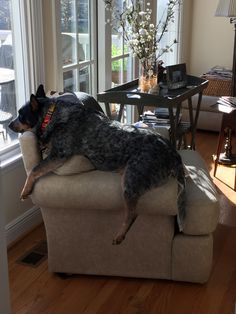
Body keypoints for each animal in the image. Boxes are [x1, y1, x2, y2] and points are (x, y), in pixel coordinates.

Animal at [8, 85, 186, 245]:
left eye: (20, 115)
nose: (9, 124)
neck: (51, 115)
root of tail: (173, 152)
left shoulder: (59, 155)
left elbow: (34, 169)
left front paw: (25, 191)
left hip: (130, 181)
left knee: (132, 214)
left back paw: (120, 235)